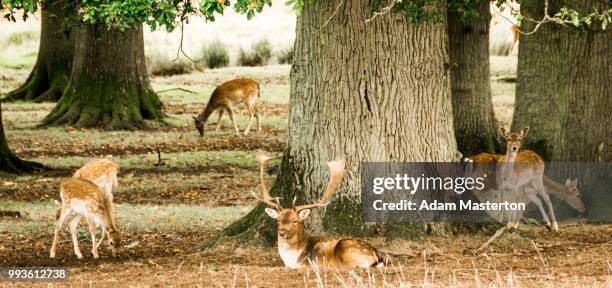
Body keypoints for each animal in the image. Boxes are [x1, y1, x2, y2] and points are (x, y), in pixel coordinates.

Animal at [253, 152, 382, 268]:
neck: (293, 259)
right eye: (278, 220)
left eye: (295, 221)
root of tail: (379, 257)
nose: (282, 232)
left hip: (347, 249)